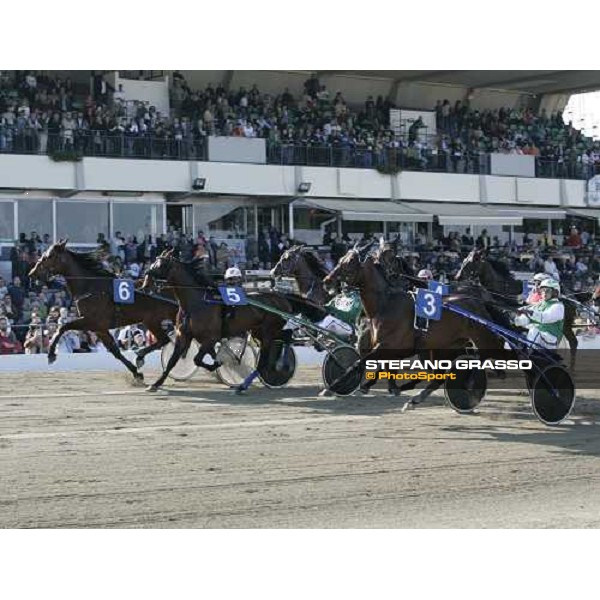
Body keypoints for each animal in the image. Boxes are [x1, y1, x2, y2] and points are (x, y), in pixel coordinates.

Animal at [28, 240, 178, 378]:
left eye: (49, 256)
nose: (32, 273)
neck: (91, 287)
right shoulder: (99, 328)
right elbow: (115, 351)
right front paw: (136, 373)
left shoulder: (91, 321)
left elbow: (62, 327)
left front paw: (51, 354)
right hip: (154, 320)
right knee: (164, 340)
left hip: (155, 320)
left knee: (165, 340)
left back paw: (141, 356)